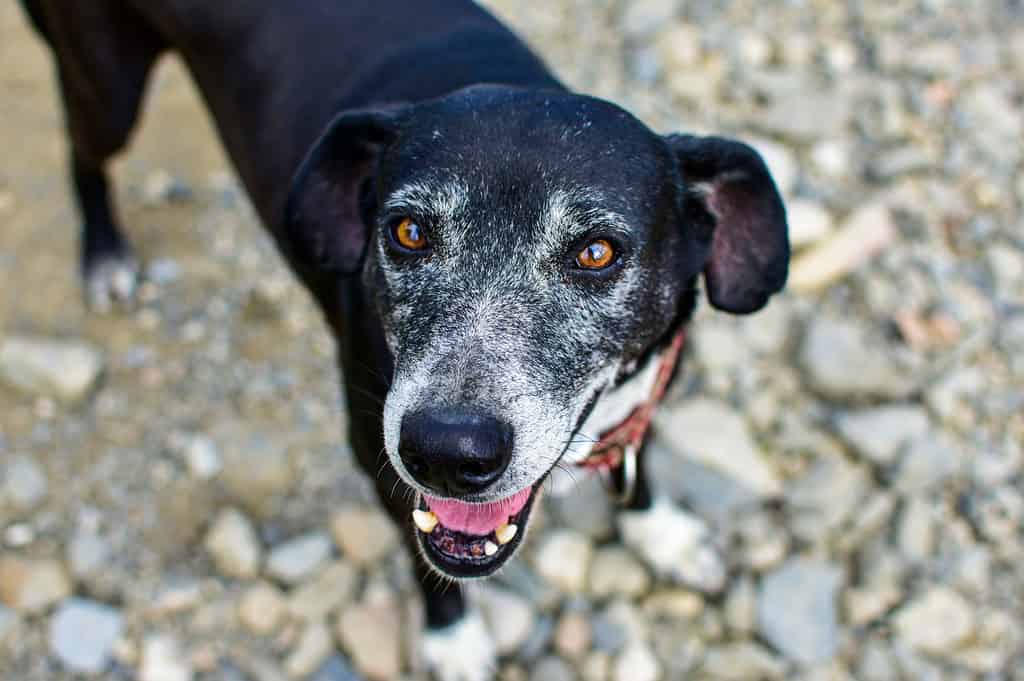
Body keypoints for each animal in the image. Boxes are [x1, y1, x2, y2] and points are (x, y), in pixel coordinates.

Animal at [22, 2, 790, 675]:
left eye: (597, 252)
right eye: (409, 231)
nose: (449, 451)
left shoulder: (650, 385)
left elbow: (639, 458)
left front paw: (664, 535)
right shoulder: (375, 454)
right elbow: (430, 566)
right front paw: (451, 641)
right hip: (108, 88)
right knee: (80, 149)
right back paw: (104, 254)